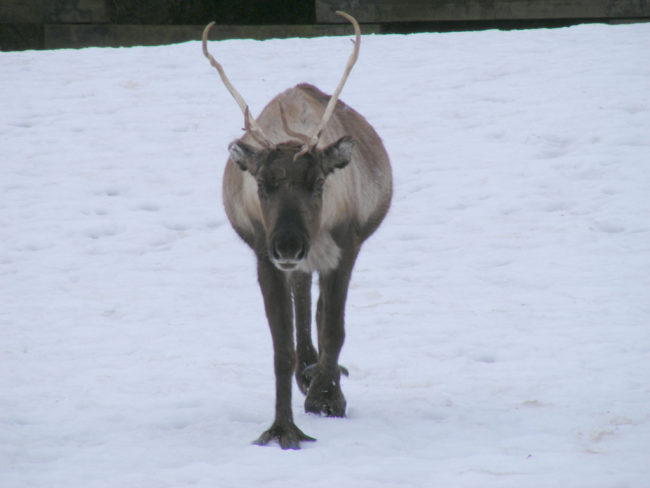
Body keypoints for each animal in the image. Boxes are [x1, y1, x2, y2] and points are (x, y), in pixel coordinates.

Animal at [202, 11, 392, 449]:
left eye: (319, 182)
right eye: (261, 184)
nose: (289, 243)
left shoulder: (345, 247)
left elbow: (335, 330)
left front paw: (325, 397)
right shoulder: (265, 255)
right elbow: (281, 348)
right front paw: (283, 428)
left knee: (318, 309)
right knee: (304, 301)